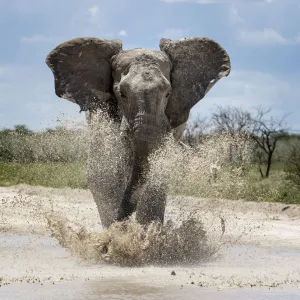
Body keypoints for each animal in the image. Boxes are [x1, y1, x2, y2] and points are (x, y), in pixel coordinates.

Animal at [45, 37, 231, 227]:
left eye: (168, 94)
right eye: (122, 94)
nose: (121, 219)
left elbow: (156, 173)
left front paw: (146, 233)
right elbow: (106, 173)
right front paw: (118, 233)